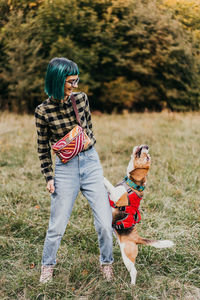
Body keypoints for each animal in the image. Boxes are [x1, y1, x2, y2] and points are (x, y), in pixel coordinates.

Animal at [104, 145, 174, 284]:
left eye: (147, 158)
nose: (146, 146)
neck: (131, 184)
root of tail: (137, 238)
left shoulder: (117, 196)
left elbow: (109, 185)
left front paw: (102, 178)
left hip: (127, 256)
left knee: (134, 271)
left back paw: (131, 285)